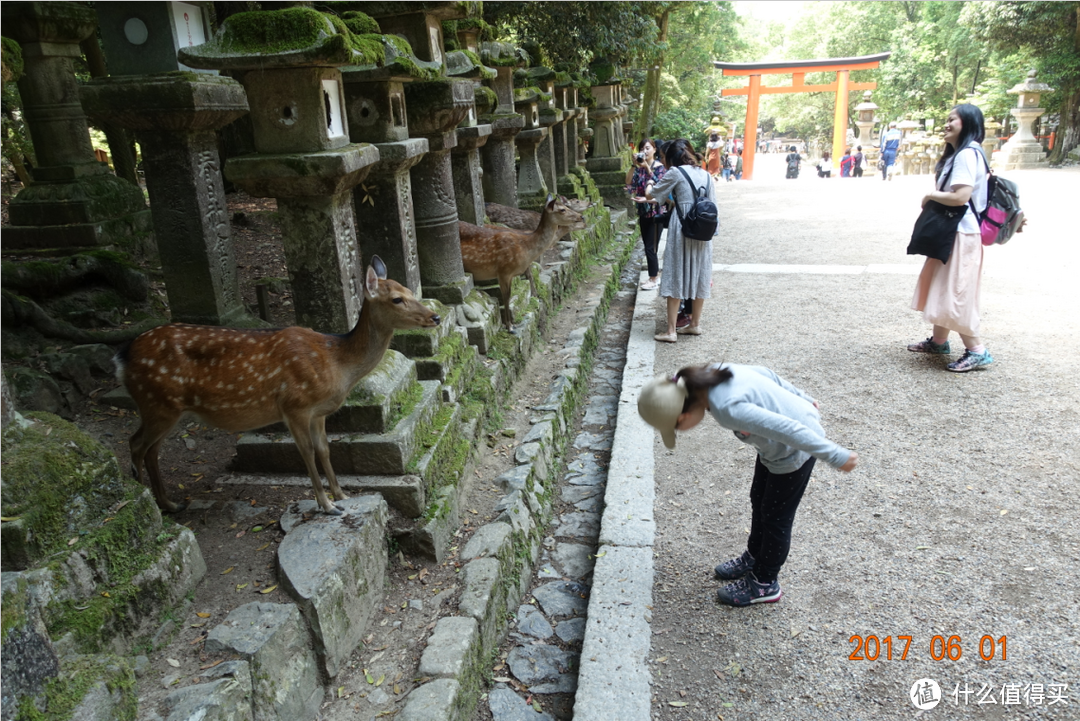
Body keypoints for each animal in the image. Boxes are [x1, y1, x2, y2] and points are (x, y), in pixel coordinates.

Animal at [115, 255, 438, 515]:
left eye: (410, 291)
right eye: (396, 299)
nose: (434, 316)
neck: (337, 364)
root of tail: (123, 355)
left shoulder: (318, 412)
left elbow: (324, 450)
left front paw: (342, 495)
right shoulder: (294, 406)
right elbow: (306, 452)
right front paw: (326, 505)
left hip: (165, 408)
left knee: (150, 449)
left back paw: (169, 503)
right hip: (156, 401)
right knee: (135, 444)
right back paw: (147, 503)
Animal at [460, 197, 587, 332]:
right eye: (563, 209)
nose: (582, 217)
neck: (526, 247)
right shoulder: (504, 270)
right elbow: (507, 296)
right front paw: (509, 326)